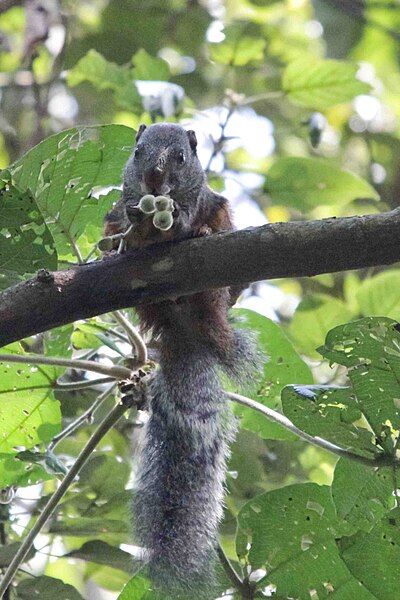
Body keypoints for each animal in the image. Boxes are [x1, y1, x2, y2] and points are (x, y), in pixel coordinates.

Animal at [102, 123, 253, 600]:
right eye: (136, 151)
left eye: (182, 158)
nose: (153, 177)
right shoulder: (117, 212)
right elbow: (125, 224)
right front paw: (138, 226)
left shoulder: (204, 200)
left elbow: (187, 218)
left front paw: (186, 225)